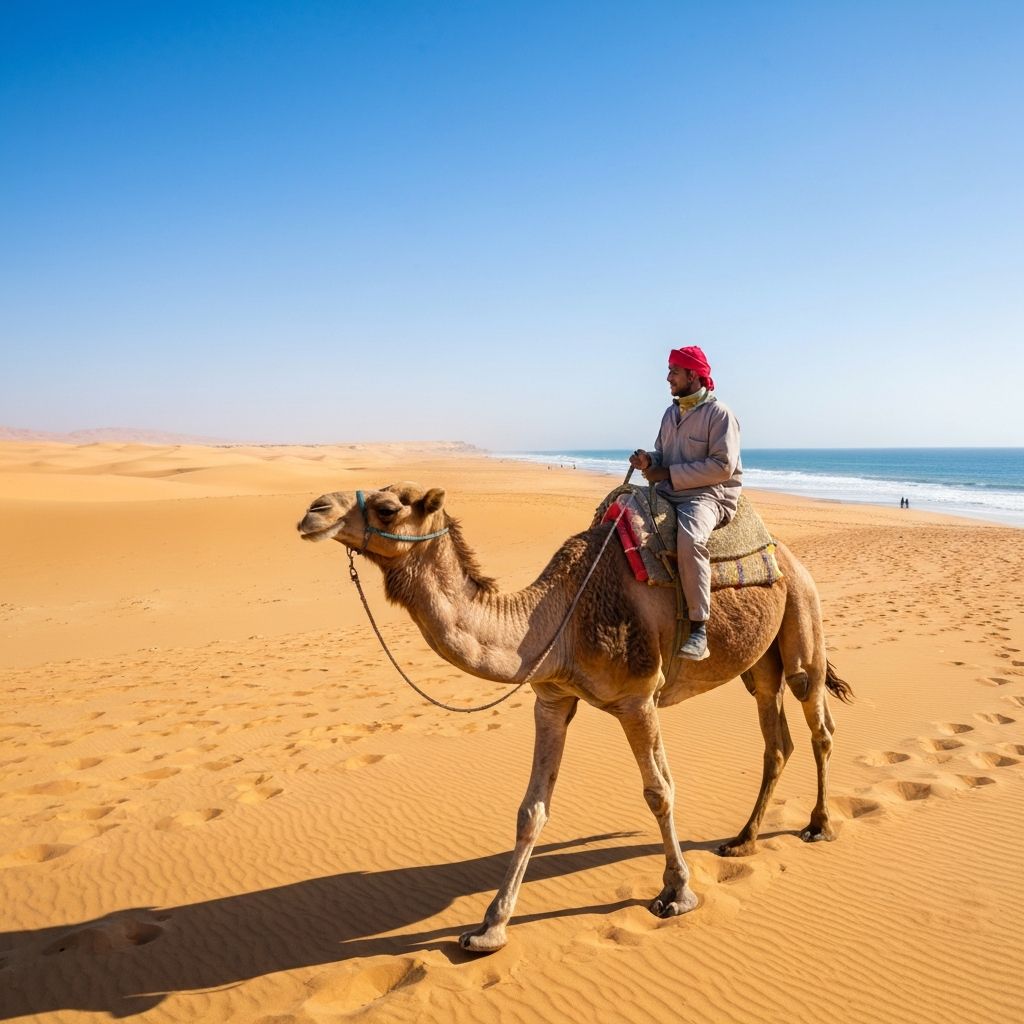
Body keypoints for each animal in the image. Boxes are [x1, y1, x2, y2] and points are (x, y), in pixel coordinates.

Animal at [297, 482, 852, 953]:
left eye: (388, 508)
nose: (313, 511)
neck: (559, 617)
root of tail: (790, 556)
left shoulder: (637, 698)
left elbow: (659, 791)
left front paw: (677, 893)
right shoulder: (551, 699)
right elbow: (531, 810)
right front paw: (490, 927)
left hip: (802, 616)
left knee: (816, 717)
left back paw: (818, 826)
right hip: (758, 663)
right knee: (775, 737)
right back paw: (742, 841)